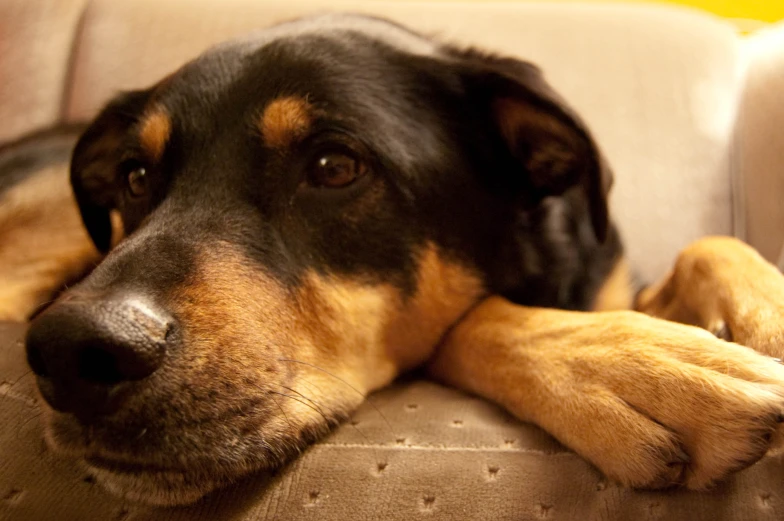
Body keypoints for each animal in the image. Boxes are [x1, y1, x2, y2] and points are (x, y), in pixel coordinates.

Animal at [4, 13, 784, 508]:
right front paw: (636, 365)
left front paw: (765, 316)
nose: (72, 350)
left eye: (334, 167)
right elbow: (473, 318)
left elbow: (710, 244)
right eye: (136, 178)